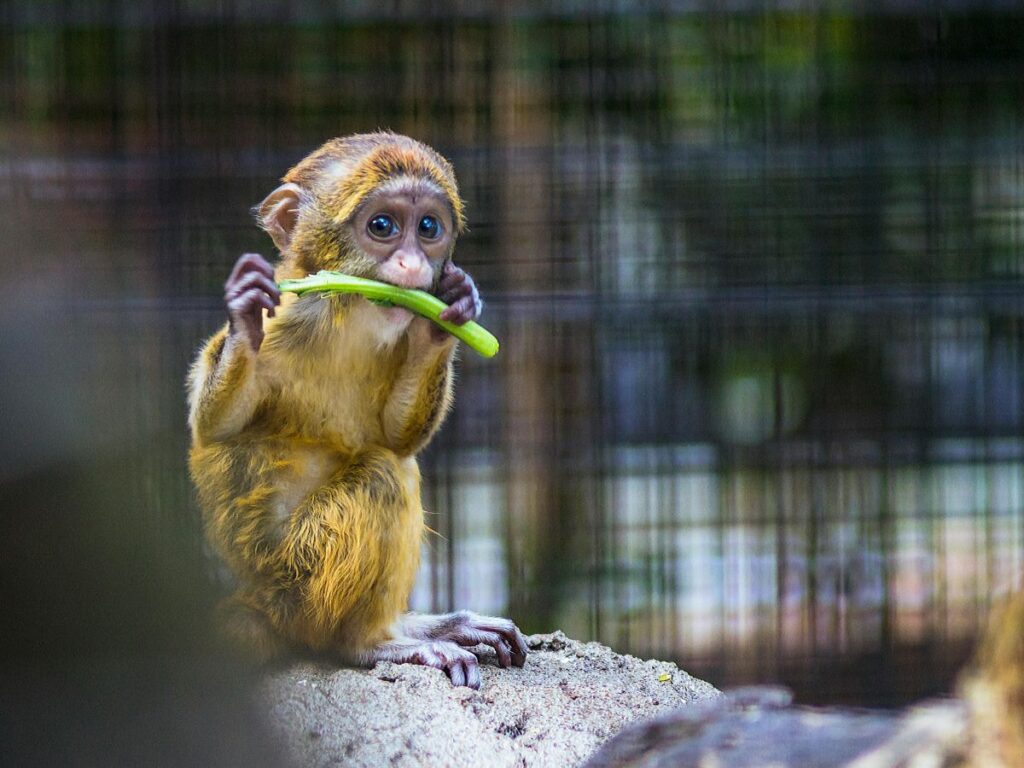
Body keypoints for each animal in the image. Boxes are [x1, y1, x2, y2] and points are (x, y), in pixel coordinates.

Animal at [187, 132, 528, 692]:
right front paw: (243, 316)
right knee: (383, 476)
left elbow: (397, 437)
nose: (414, 266)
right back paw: (368, 642)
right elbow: (216, 427)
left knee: (394, 463)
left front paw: (447, 315)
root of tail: (259, 602)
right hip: (299, 579)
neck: (346, 313)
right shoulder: (288, 318)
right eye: (382, 227)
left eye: (428, 228)